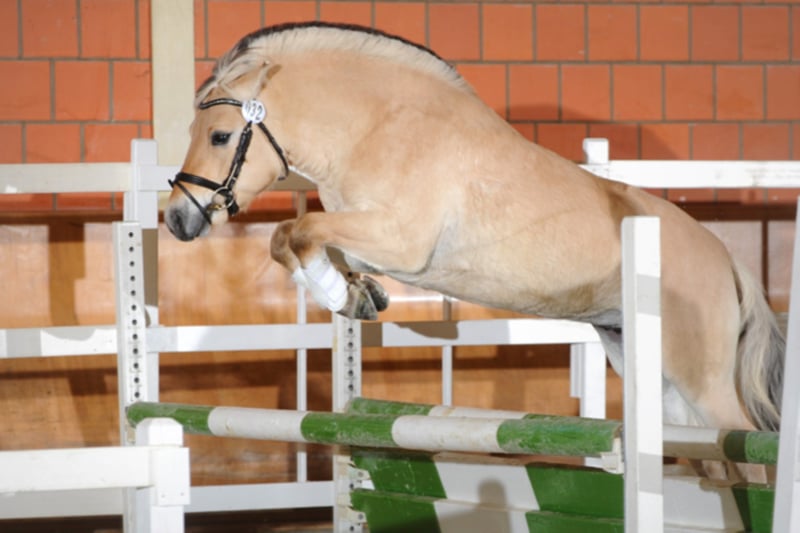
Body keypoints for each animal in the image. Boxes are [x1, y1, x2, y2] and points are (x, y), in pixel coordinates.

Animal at [164, 22, 785, 479]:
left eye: (220, 136)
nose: (176, 219)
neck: (379, 128)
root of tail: (725, 259)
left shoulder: (399, 240)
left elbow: (301, 231)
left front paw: (344, 293)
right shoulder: (367, 237)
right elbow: (291, 239)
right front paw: (355, 297)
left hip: (701, 380)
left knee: (746, 447)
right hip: (656, 375)